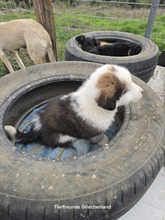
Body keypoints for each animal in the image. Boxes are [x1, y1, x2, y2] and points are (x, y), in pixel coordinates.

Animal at [4, 65, 142, 148]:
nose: (142, 91)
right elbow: (99, 137)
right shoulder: (93, 131)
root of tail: (35, 129)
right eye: (126, 90)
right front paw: (104, 141)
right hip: (61, 137)